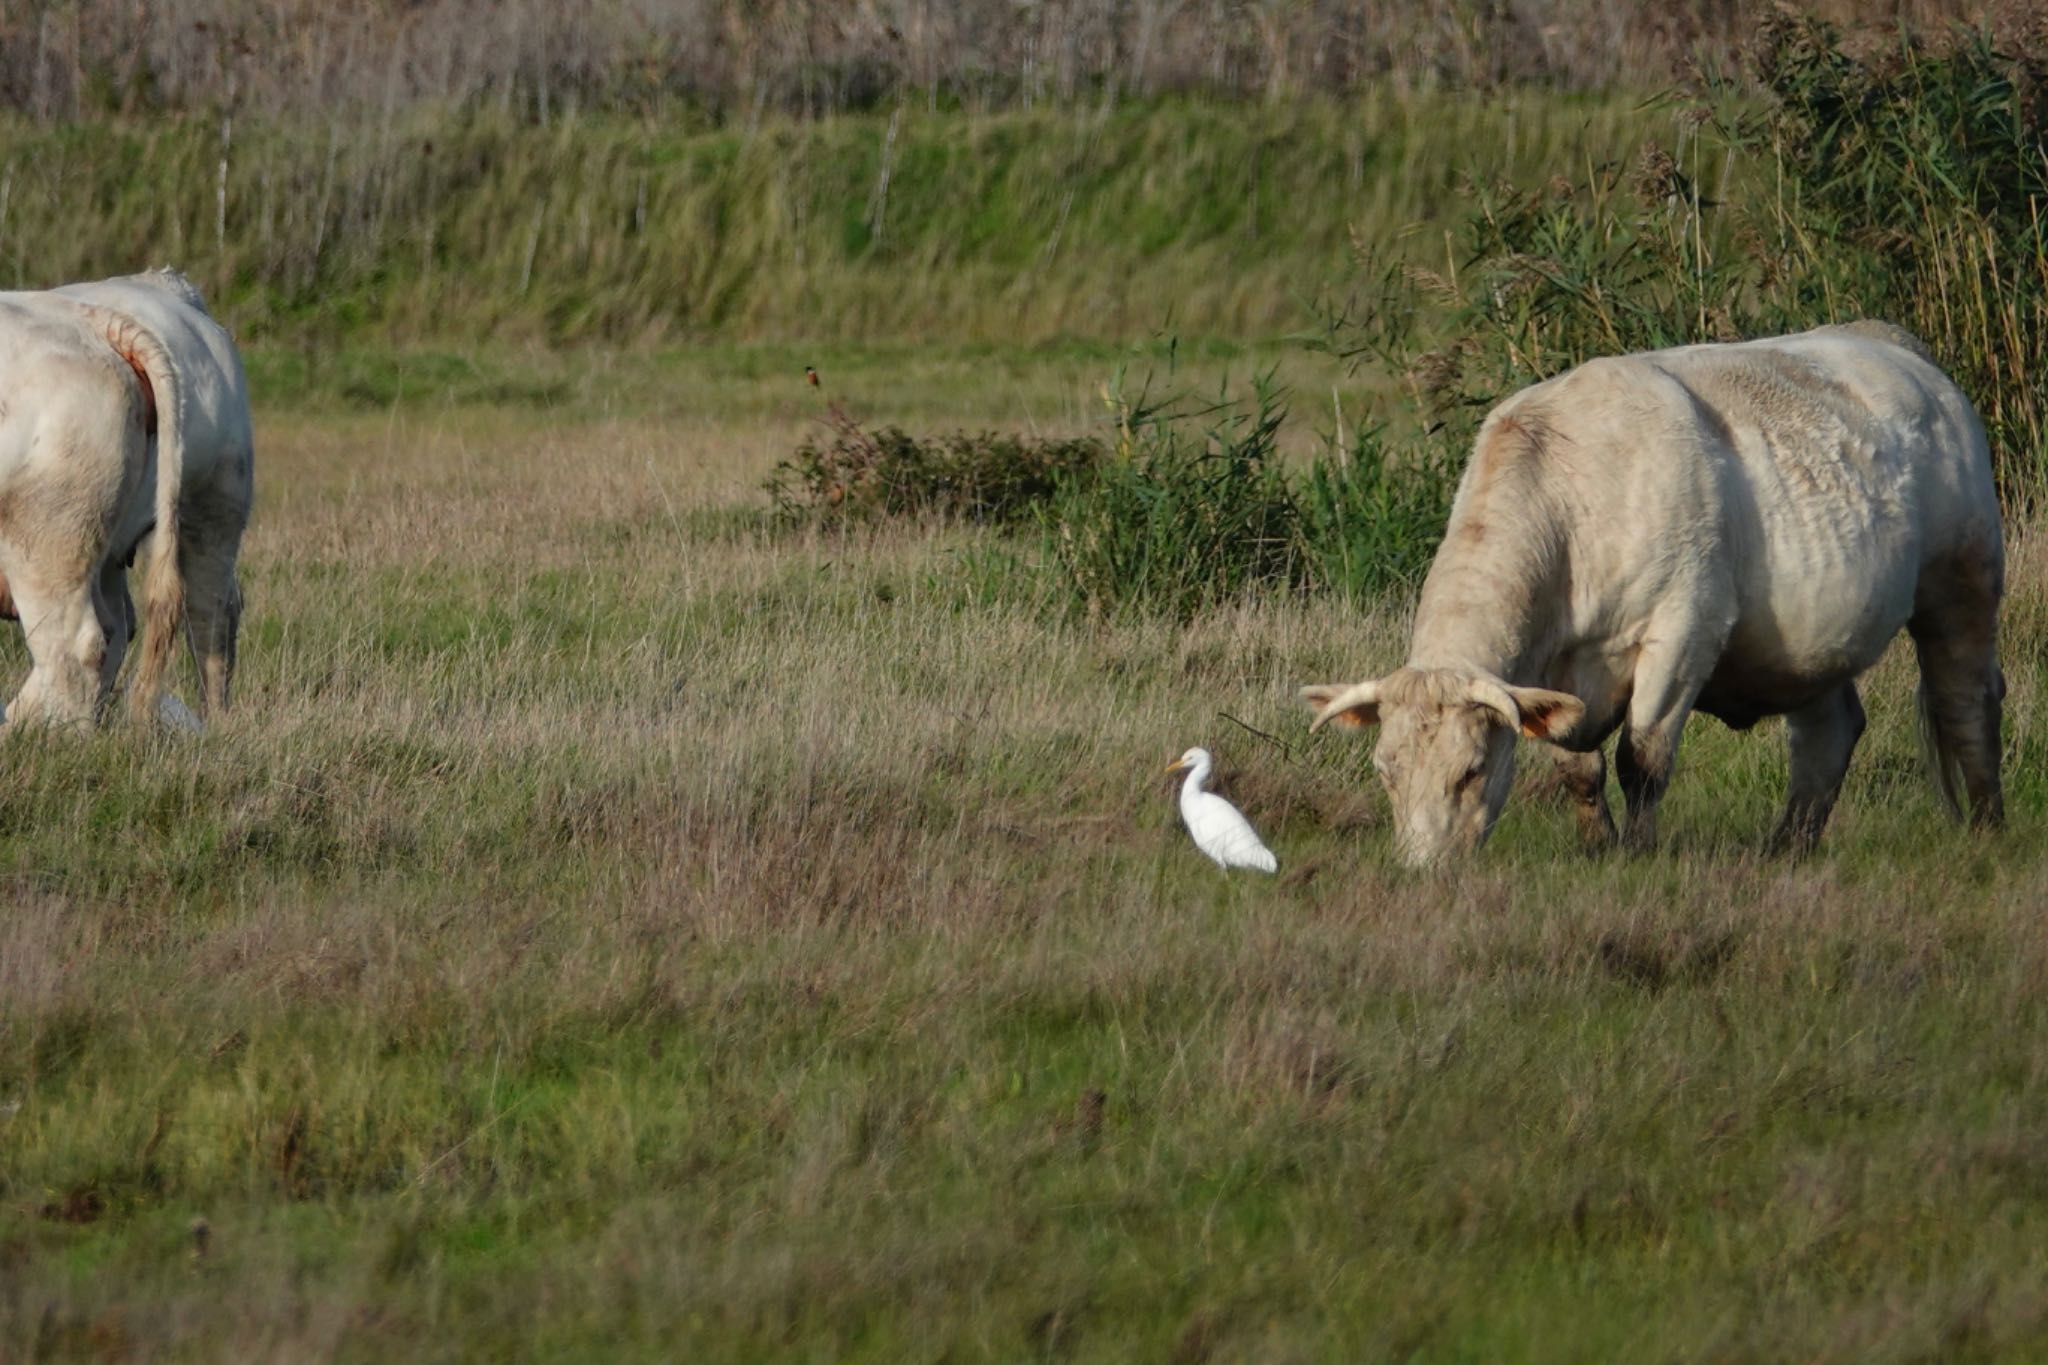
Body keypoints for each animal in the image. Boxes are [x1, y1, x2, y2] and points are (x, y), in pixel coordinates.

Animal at [1310, 321, 1998, 863]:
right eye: (1385, 772)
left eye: (1471, 770)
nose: (1425, 871)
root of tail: (1889, 340)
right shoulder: (1552, 675)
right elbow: (1578, 768)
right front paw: (1596, 848)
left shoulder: (1684, 630)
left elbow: (1641, 759)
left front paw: (1638, 853)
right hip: (1812, 644)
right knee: (1828, 735)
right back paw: (1786, 849)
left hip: (1963, 581)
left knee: (1967, 703)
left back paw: (1986, 827)